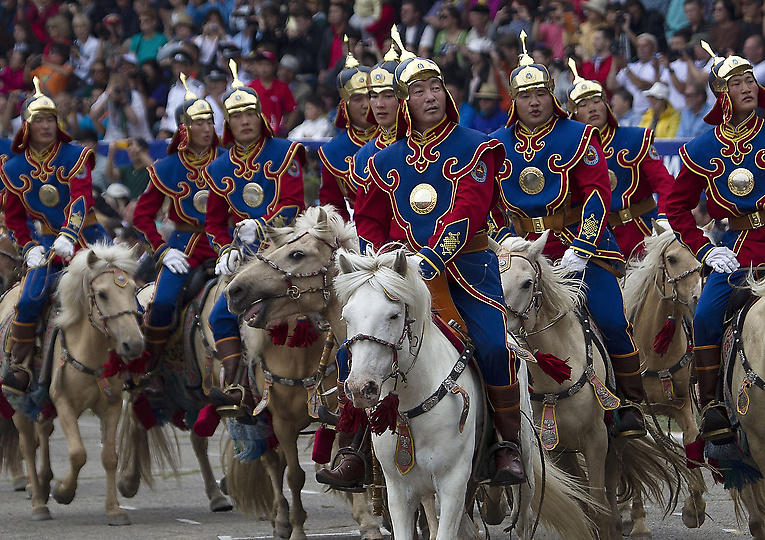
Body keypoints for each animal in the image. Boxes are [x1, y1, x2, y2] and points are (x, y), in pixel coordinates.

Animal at [3, 245, 145, 524]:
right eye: (102, 294)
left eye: (133, 289)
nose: (133, 344)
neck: (90, 351)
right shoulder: (64, 403)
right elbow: (78, 454)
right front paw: (63, 492)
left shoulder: (111, 406)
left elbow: (109, 457)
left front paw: (114, 510)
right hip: (19, 403)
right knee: (28, 445)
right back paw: (39, 502)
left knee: (43, 432)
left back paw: (44, 483)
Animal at [498, 235, 688, 540]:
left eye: (527, 282)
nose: (501, 325)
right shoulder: (556, 448)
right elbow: (583, 506)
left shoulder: (597, 439)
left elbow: (599, 506)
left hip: (615, 441)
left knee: (610, 494)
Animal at [620, 224, 704, 532]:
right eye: (672, 258)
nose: (697, 297)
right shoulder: (636, 411)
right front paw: (639, 521)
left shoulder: (683, 405)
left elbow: (692, 440)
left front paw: (695, 507)